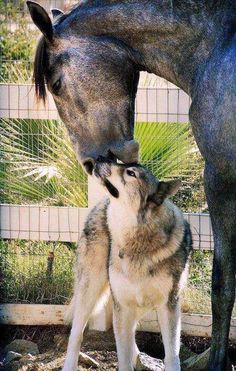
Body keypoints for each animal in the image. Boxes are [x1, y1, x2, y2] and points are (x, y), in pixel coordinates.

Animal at [62, 163, 192, 371]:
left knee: (131, 336)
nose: (101, 158)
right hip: (91, 290)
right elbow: (122, 355)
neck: (137, 243)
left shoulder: (168, 305)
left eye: (131, 173)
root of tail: (101, 203)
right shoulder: (122, 305)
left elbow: (172, 355)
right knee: (76, 333)